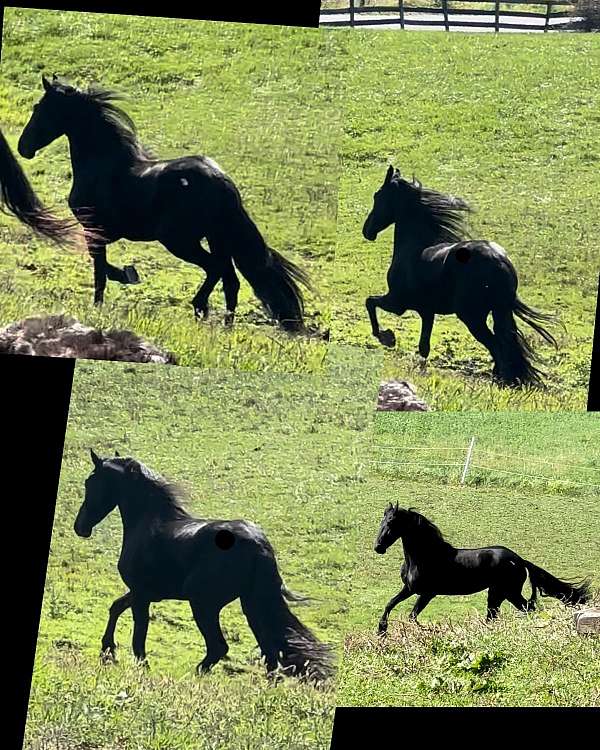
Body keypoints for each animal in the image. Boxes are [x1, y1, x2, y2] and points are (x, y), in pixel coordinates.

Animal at [18, 75, 312, 331]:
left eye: (40, 108)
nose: (23, 147)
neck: (102, 164)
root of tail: (221, 181)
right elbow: (101, 267)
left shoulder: (95, 230)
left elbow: (100, 270)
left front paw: (110, 293)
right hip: (216, 239)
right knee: (230, 281)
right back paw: (223, 326)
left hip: (180, 241)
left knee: (216, 270)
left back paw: (200, 307)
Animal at [73, 449, 334, 682]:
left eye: (89, 482)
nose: (80, 527)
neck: (148, 523)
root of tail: (258, 545)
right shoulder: (146, 593)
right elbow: (116, 607)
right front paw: (108, 650)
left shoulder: (141, 594)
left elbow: (138, 636)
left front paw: (137, 666)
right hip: (250, 605)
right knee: (270, 653)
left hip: (204, 604)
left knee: (220, 648)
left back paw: (192, 677)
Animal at [362, 165, 559, 388]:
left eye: (377, 196)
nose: (367, 231)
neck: (414, 249)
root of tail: (499, 260)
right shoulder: (427, 311)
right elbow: (424, 346)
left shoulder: (397, 303)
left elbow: (370, 302)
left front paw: (386, 337)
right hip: (499, 311)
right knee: (503, 343)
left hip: (472, 317)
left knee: (496, 346)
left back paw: (500, 379)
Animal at [374, 504, 591, 633]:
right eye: (381, 521)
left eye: (391, 522)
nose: (378, 548)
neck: (424, 557)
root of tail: (520, 560)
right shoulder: (409, 589)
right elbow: (390, 604)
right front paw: (381, 631)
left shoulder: (427, 593)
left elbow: (412, 616)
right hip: (496, 594)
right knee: (495, 616)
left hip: (508, 592)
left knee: (528, 608)